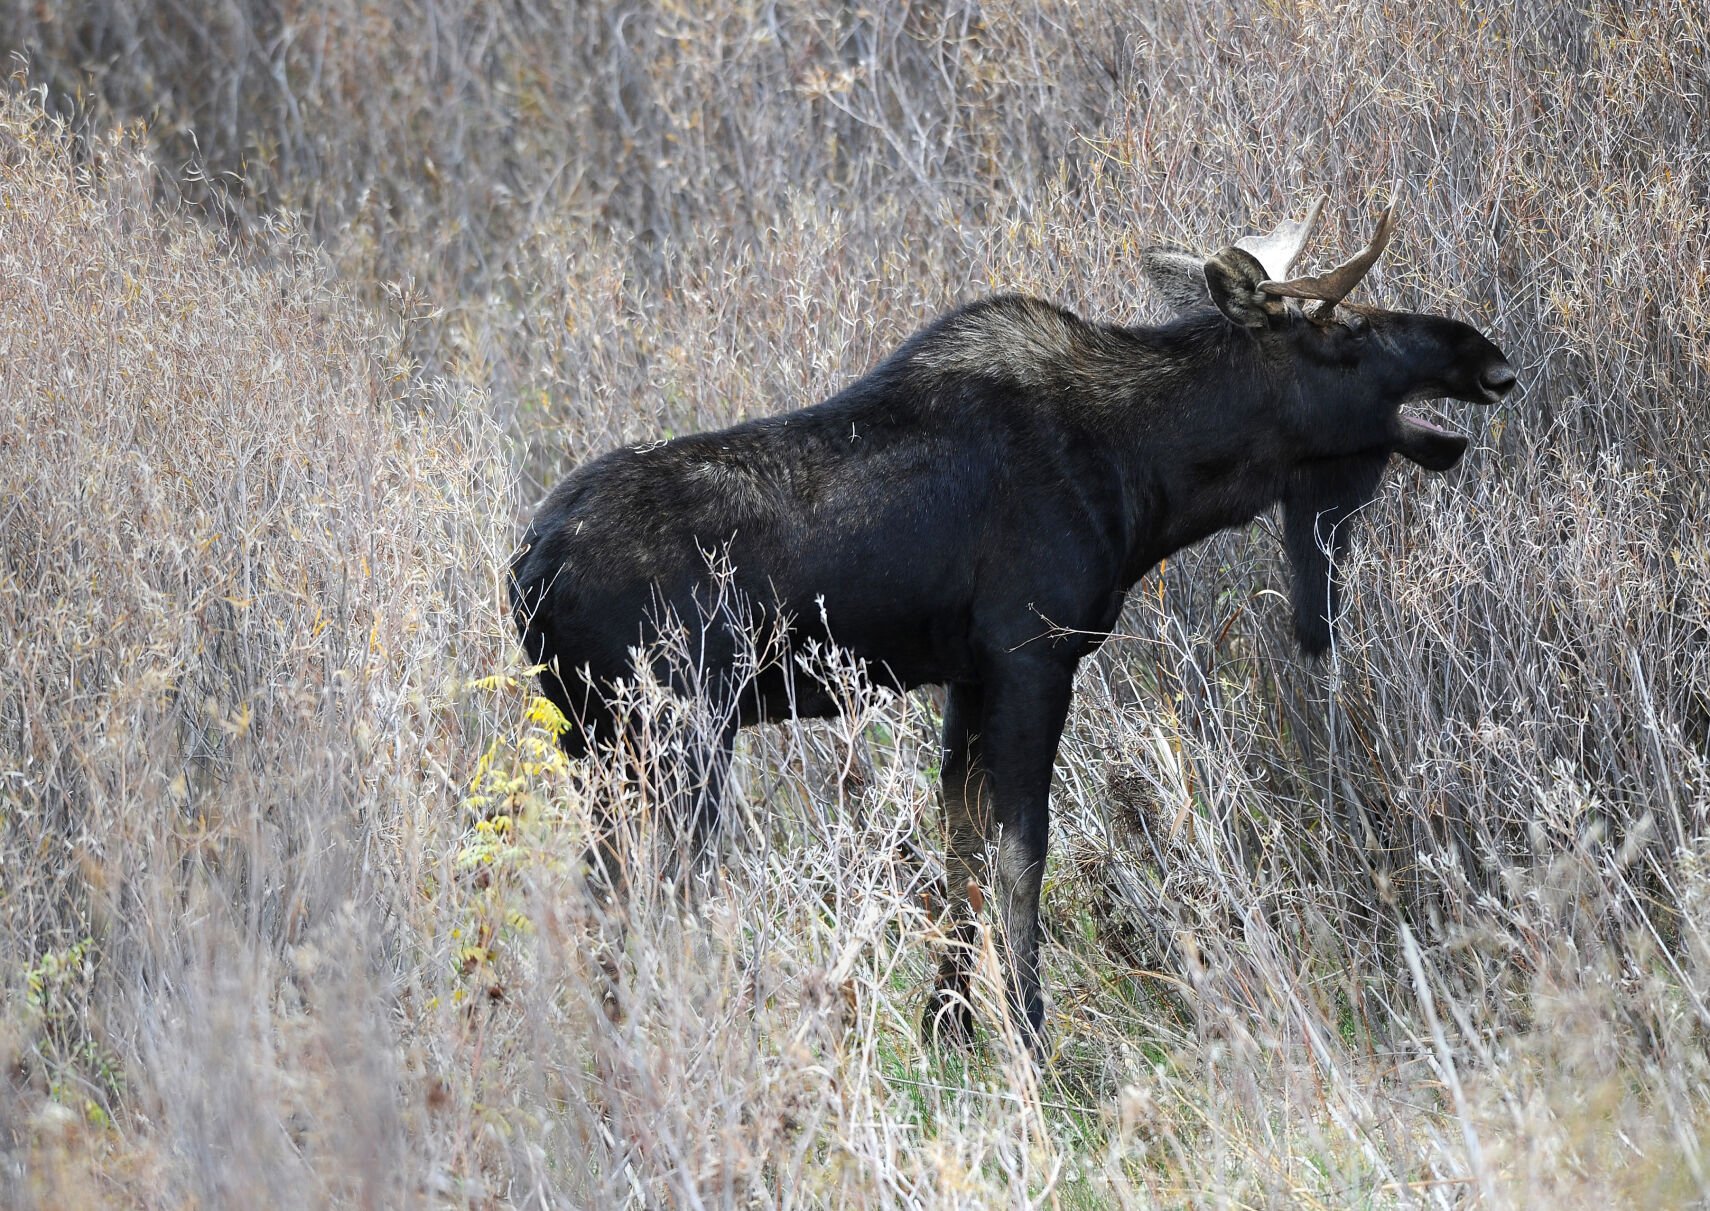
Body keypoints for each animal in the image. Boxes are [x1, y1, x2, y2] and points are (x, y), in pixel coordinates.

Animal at [509, 196, 1516, 1051]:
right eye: (1347, 328)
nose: (1487, 360)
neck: (1149, 473)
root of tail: (526, 572)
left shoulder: (967, 673)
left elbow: (960, 840)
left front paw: (949, 1025)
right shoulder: (1035, 655)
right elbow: (1023, 852)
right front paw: (1030, 1035)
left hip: (597, 745)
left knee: (604, 896)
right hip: (673, 737)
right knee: (650, 894)